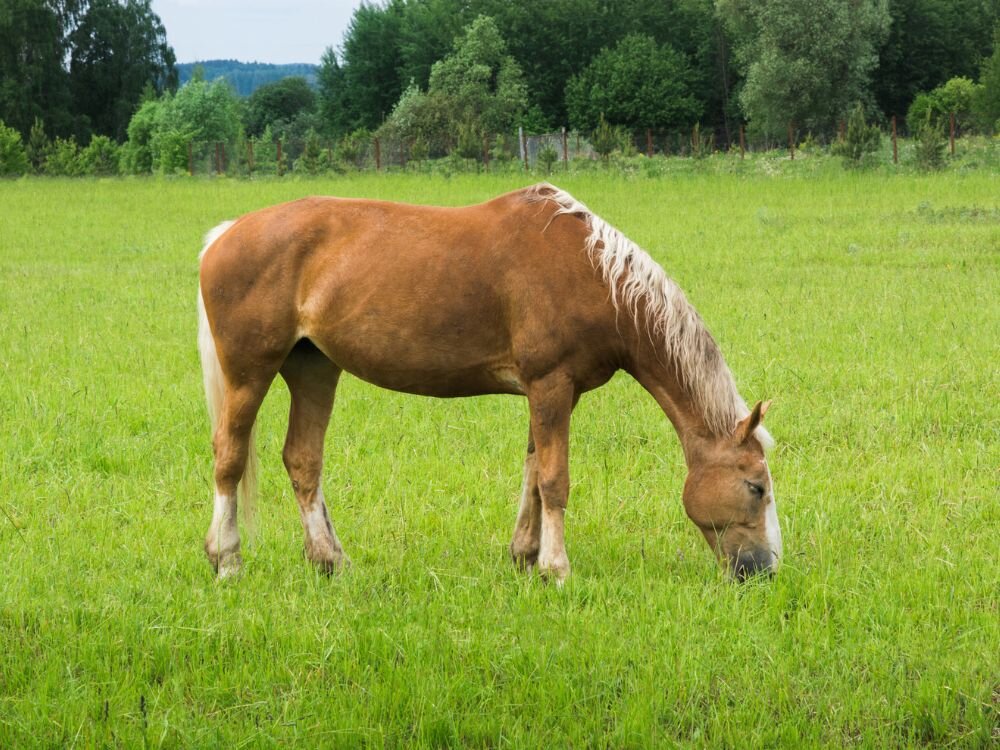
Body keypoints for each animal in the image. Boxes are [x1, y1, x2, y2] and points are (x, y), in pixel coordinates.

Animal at [197, 183, 781, 583]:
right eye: (756, 487)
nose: (764, 569)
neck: (595, 276)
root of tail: (224, 234)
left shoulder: (551, 393)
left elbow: (534, 473)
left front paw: (525, 557)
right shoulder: (550, 385)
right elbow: (555, 480)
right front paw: (557, 569)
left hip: (314, 368)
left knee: (303, 460)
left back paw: (329, 560)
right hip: (249, 372)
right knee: (229, 456)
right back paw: (227, 561)